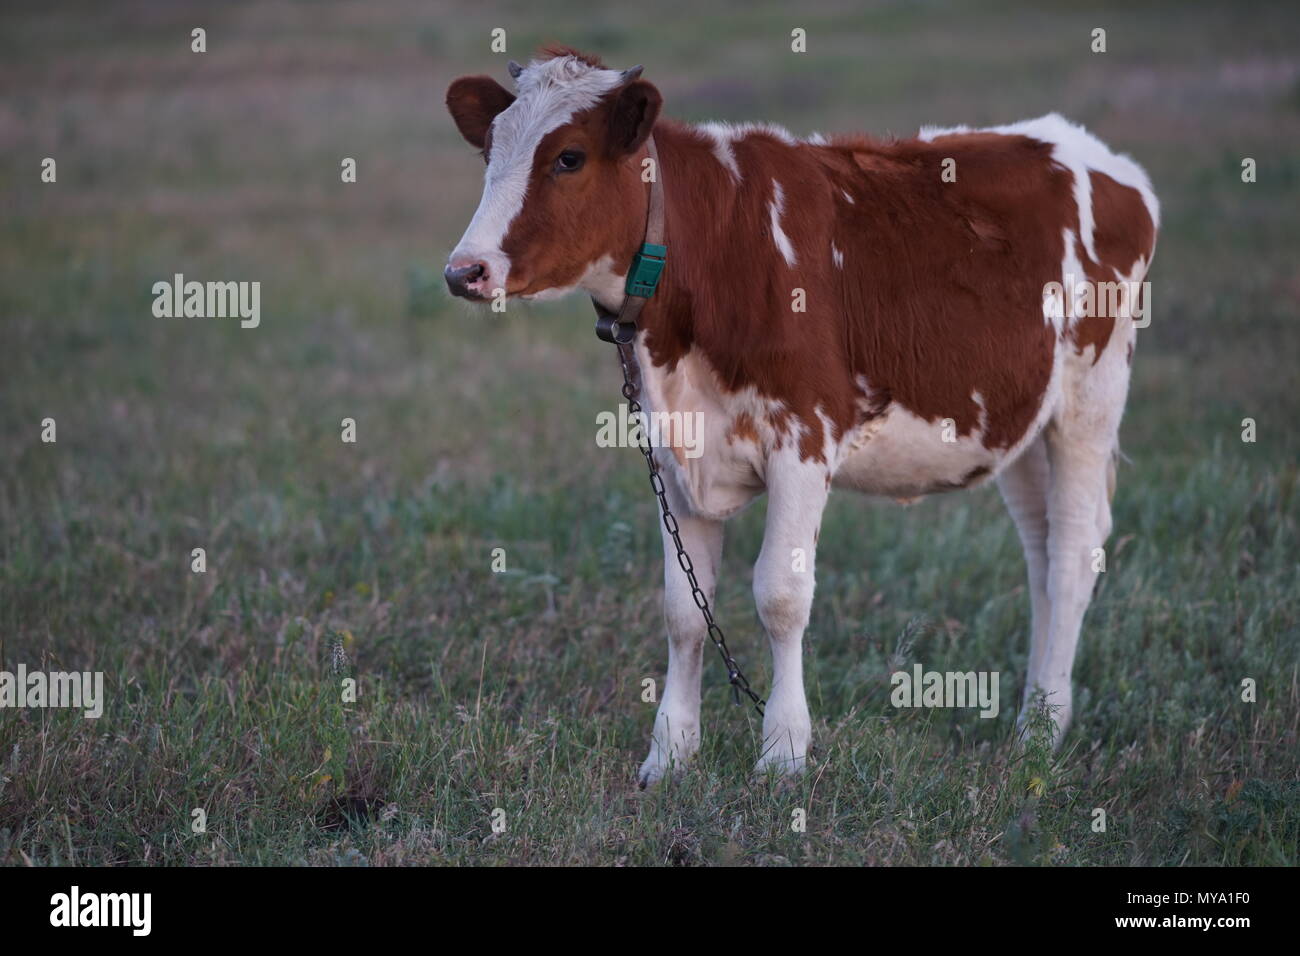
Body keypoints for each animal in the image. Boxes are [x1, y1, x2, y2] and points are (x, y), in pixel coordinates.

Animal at [443, 47, 1159, 785]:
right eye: (490, 148)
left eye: (569, 157)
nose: (465, 270)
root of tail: (1088, 152)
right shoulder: (675, 452)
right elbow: (683, 608)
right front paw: (669, 755)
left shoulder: (805, 436)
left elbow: (780, 596)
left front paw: (783, 751)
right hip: (1018, 421)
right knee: (1041, 553)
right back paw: (1037, 718)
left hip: (1089, 401)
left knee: (1071, 554)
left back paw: (1041, 736)